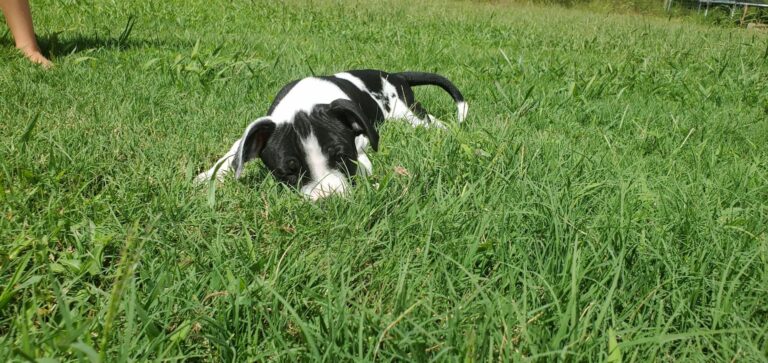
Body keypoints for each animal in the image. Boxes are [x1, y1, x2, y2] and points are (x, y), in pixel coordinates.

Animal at [195, 69, 464, 200]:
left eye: (344, 158)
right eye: (288, 172)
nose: (328, 200)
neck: (305, 101)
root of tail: (395, 74)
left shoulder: (361, 155)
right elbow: (235, 150)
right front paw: (210, 175)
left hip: (407, 112)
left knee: (428, 121)